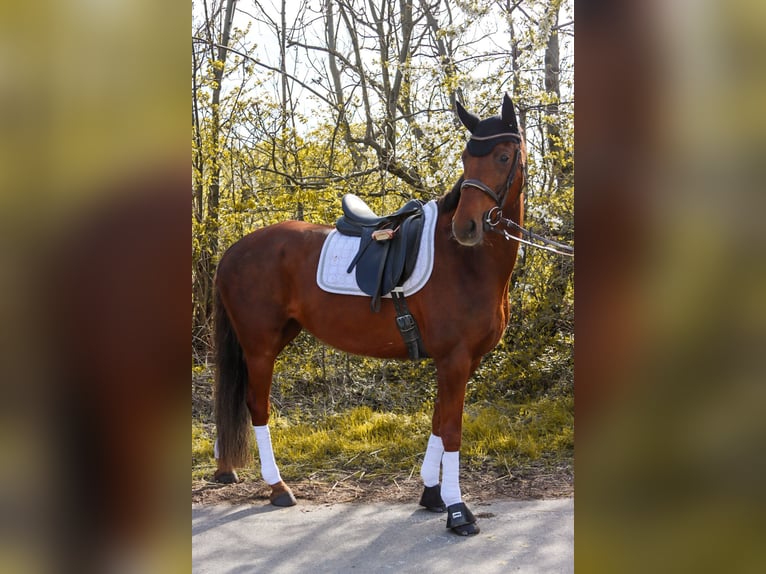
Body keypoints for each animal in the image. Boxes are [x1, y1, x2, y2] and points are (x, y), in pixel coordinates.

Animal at [213, 94, 527, 536]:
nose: (467, 227)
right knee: (257, 406)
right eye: (467, 158)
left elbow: (438, 421)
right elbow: (451, 430)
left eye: (502, 156)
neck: (465, 262)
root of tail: (234, 251)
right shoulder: (454, 359)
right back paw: (278, 488)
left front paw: (432, 495)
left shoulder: (462, 361)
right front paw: (457, 511)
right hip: (260, 347)